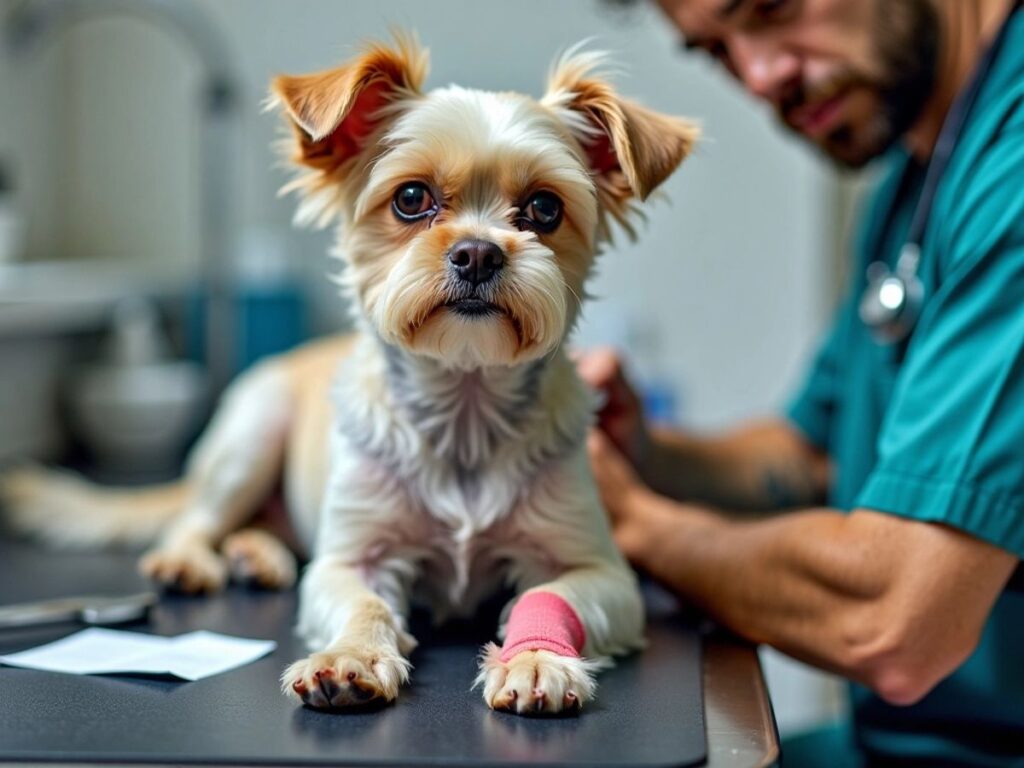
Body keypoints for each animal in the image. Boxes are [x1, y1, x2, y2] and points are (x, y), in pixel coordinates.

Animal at [0, 36, 696, 720]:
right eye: (411, 199)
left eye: (545, 208)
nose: (476, 253)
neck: (464, 405)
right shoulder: (351, 558)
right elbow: (365, 602)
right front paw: (352, 657)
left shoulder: (599, 570)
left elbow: (549, 596)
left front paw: (536, 659)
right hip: (252, 435)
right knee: (196, 518)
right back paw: (192, 560)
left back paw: (258, 555)